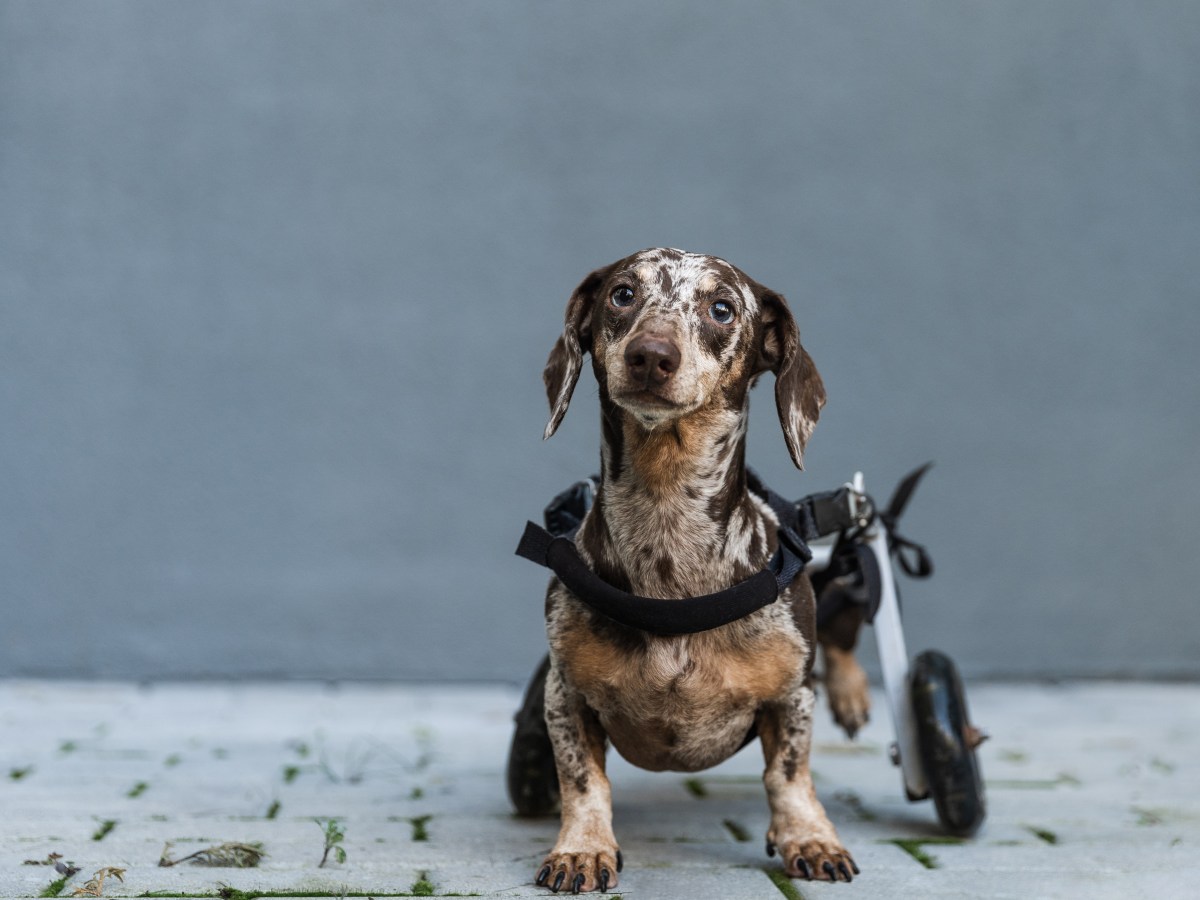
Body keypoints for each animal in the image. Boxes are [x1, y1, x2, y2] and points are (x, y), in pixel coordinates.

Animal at [520, 248, 868, 897]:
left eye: (722, 308)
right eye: (623, 294)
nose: (651, 355)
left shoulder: (791, 695)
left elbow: (788, 775)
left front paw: (809, 837)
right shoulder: (566, 693)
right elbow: (583, 780)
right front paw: (582, 848)